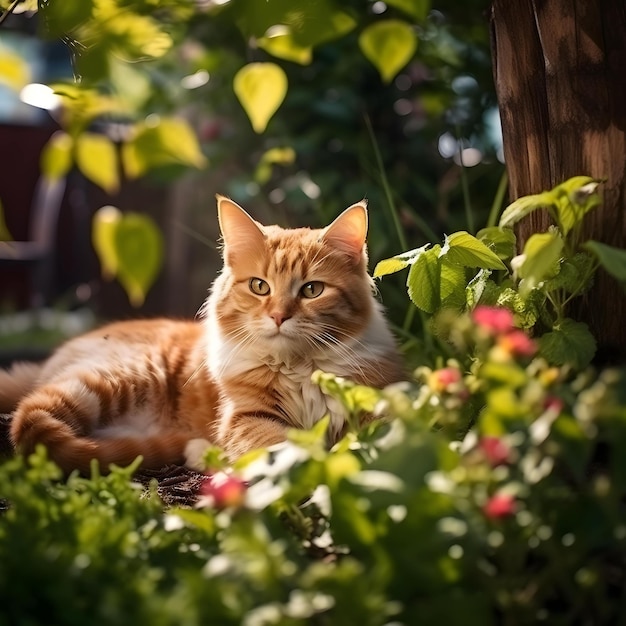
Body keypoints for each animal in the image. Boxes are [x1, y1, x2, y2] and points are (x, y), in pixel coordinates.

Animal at [0, 196, 402, 472]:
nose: (278, 316)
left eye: (312, 290)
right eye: (260, 287)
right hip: (116, 378)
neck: (300, 368)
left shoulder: (375, 398)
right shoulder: (246, 417)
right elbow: (280, 447)